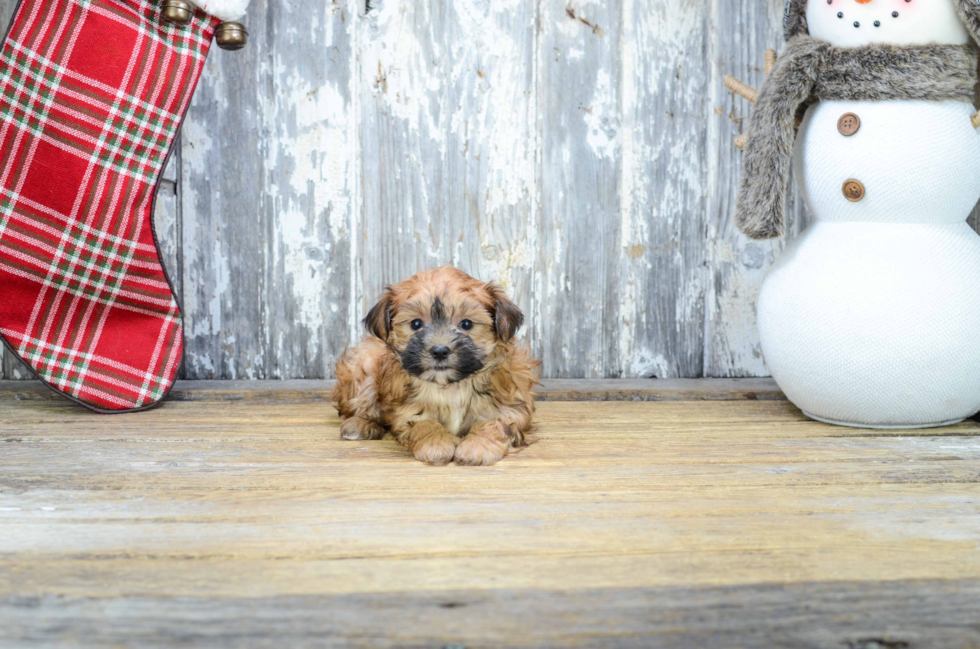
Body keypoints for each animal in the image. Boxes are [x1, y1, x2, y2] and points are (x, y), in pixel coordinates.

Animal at [334, 266, 540, 464]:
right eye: (416, 324)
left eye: (466, 324)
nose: (440, 351)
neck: (452, 386)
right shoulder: (407, 411)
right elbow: (423, 423)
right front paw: (436, 443)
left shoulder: (512, 407)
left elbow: (494, 423)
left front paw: (477, 446)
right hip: (365, 364)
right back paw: (361, 424)